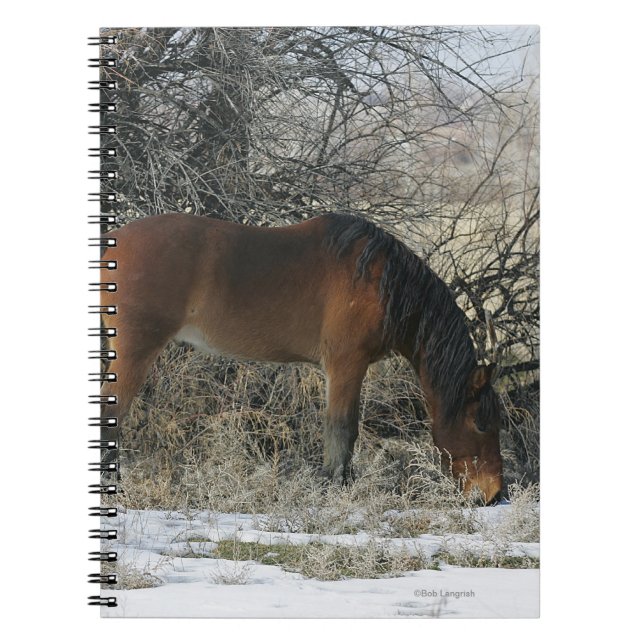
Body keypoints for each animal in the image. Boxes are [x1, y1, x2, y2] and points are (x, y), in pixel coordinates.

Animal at [99, 212, 503, 503]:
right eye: (482, 424)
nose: (495, 495)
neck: (383, 282)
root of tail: (112, 247)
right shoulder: (346, 364)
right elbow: (342, 429)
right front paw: (336, 486)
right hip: (135, 350)